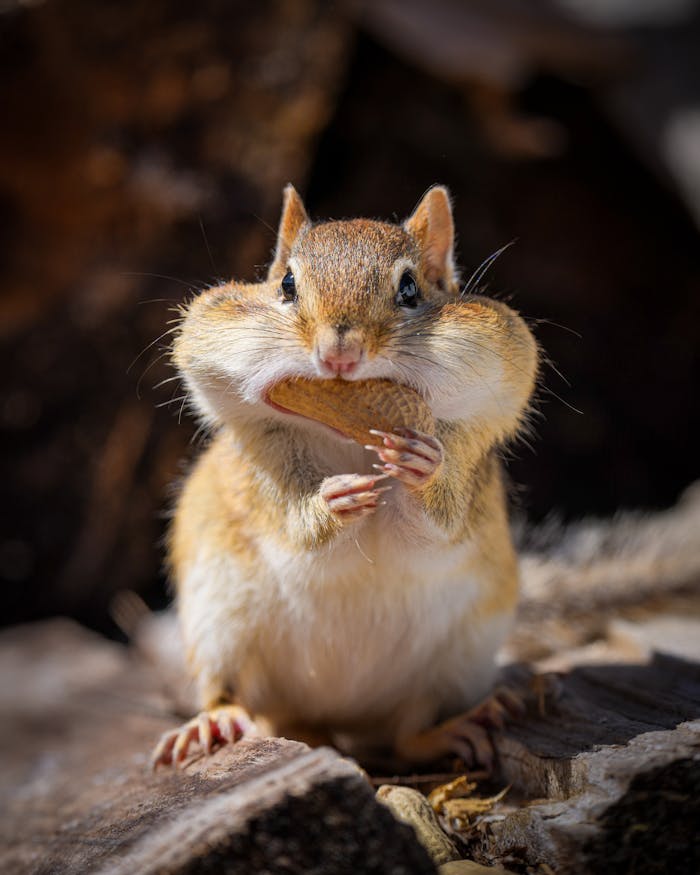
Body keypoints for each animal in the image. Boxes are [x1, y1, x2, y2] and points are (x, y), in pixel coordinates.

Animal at [152, 184, 538, 769]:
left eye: (410, 288)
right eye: (287, 284)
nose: (339, 354)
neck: (351, 439)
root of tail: (339, 719)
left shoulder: (466, 479)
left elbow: (438, 527)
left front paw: (421, 472)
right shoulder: (262, 479)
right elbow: (292, 528)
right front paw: (333, 502)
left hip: (460, 656)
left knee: (408, 734)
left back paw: (464, 724)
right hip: (218, 624)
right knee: (229, 691)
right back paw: (212, 723)